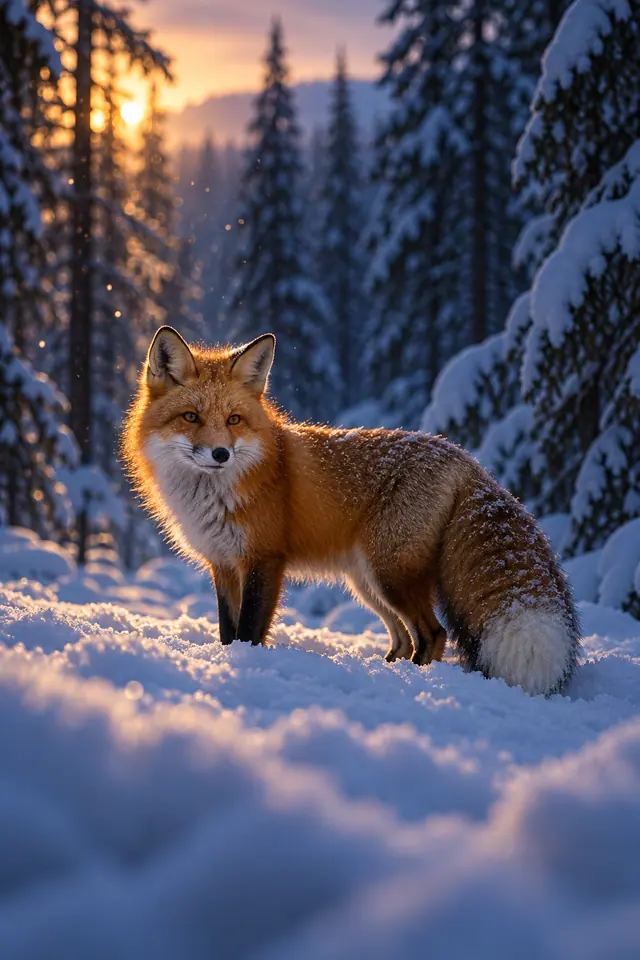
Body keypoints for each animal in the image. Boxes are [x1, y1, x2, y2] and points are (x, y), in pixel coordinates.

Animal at [123, 326, 581, 697]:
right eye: (191, 417)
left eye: (234, 419)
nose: (220, 454)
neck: (216, 495)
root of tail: (463, 457)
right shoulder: (223, 564)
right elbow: (226, 631)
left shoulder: (264, 560)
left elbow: (249, 631)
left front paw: (247, 667)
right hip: (368, 581)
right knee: (404, 637)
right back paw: (387, 669)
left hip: (390, 574)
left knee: (432, 634)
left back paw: (412, 680)